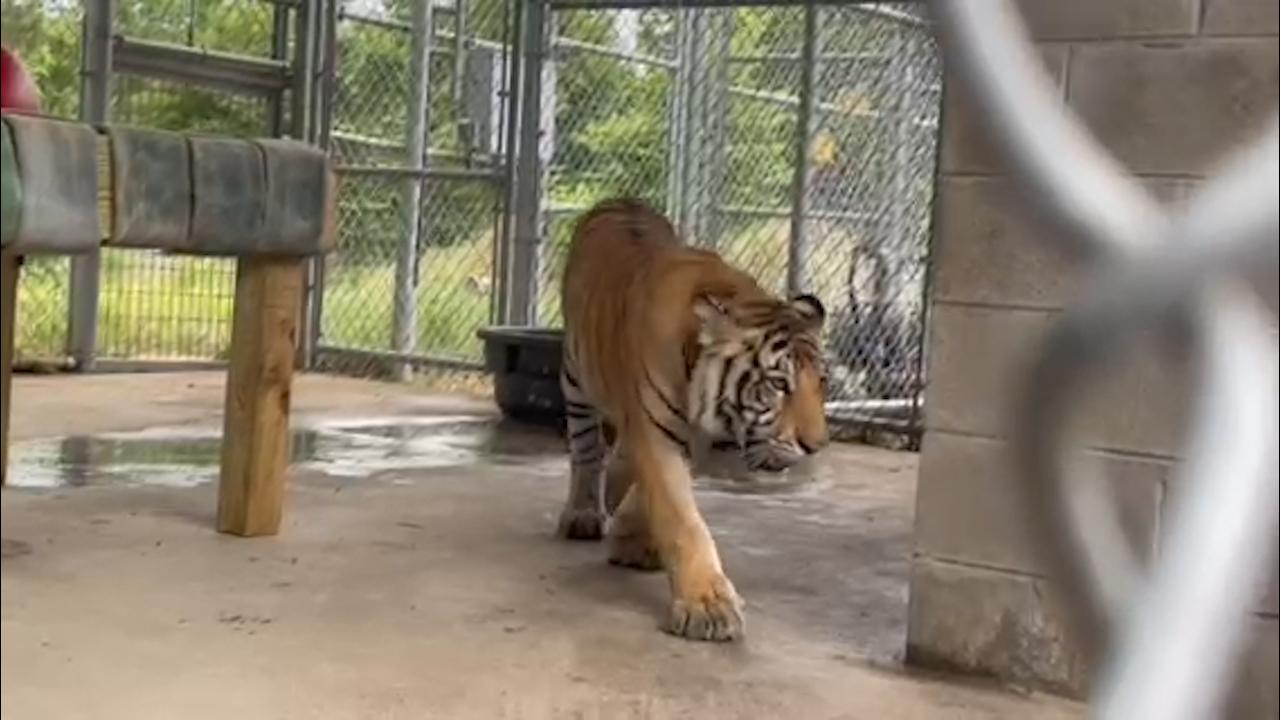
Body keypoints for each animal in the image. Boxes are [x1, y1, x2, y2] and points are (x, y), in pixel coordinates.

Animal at [558, 196, 829, 638]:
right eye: (778, 384)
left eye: (822, 382)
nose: (816, 445)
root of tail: (623, 199)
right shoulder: (657, 434)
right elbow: (681, 518)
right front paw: (708, 607)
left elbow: (650, 495)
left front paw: (635, 541)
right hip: (575, 375)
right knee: (587, 450)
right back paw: (583, 513)